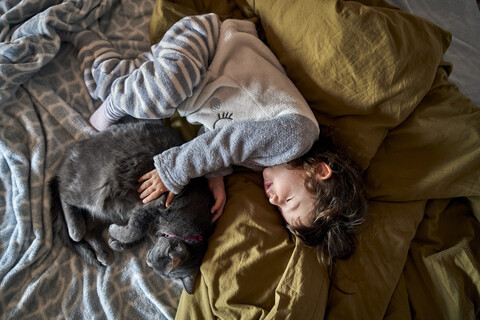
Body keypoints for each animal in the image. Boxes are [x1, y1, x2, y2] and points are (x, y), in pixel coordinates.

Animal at [49, 120, 213, 296]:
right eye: (153, 260)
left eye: (156, 267)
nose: (147, 260)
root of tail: (73, 150)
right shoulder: (150, 207)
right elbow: (134, 231)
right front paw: (115, 233)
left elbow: (135, 236)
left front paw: (117, 243)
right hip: (95, 190)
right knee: (64, 195)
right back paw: (75, 229)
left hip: (108, 212)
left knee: (90, 231)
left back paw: (103, 254)